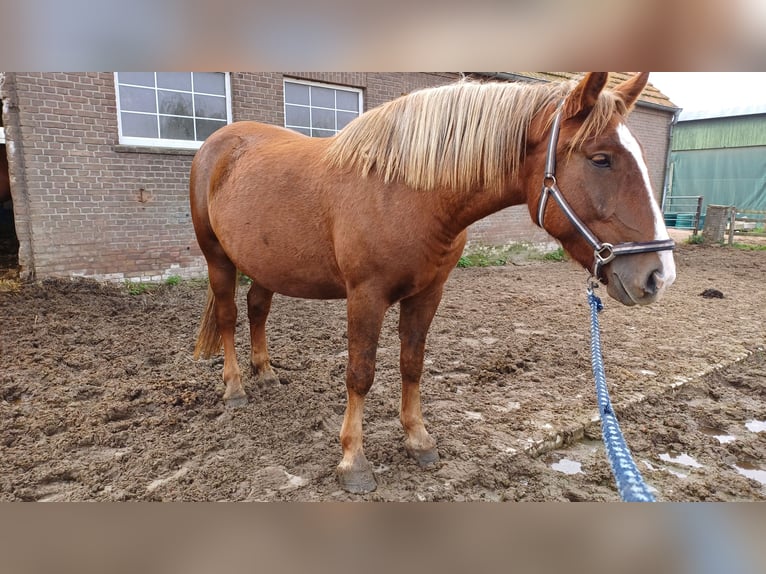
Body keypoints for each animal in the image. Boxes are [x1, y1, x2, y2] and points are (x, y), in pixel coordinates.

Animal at [192, 72, 680, 496]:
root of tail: (218, 144)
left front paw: (418, 440)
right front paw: (354, 462)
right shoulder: (365, 296)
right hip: (219, 260)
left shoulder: (428, 294)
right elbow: (360, 374)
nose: (657, 275)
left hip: (265, 265)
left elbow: (412, 364)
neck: (405, 190)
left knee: (257, 308)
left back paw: (266, 373)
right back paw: (235, 388)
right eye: (601, 158)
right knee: (229, 315)